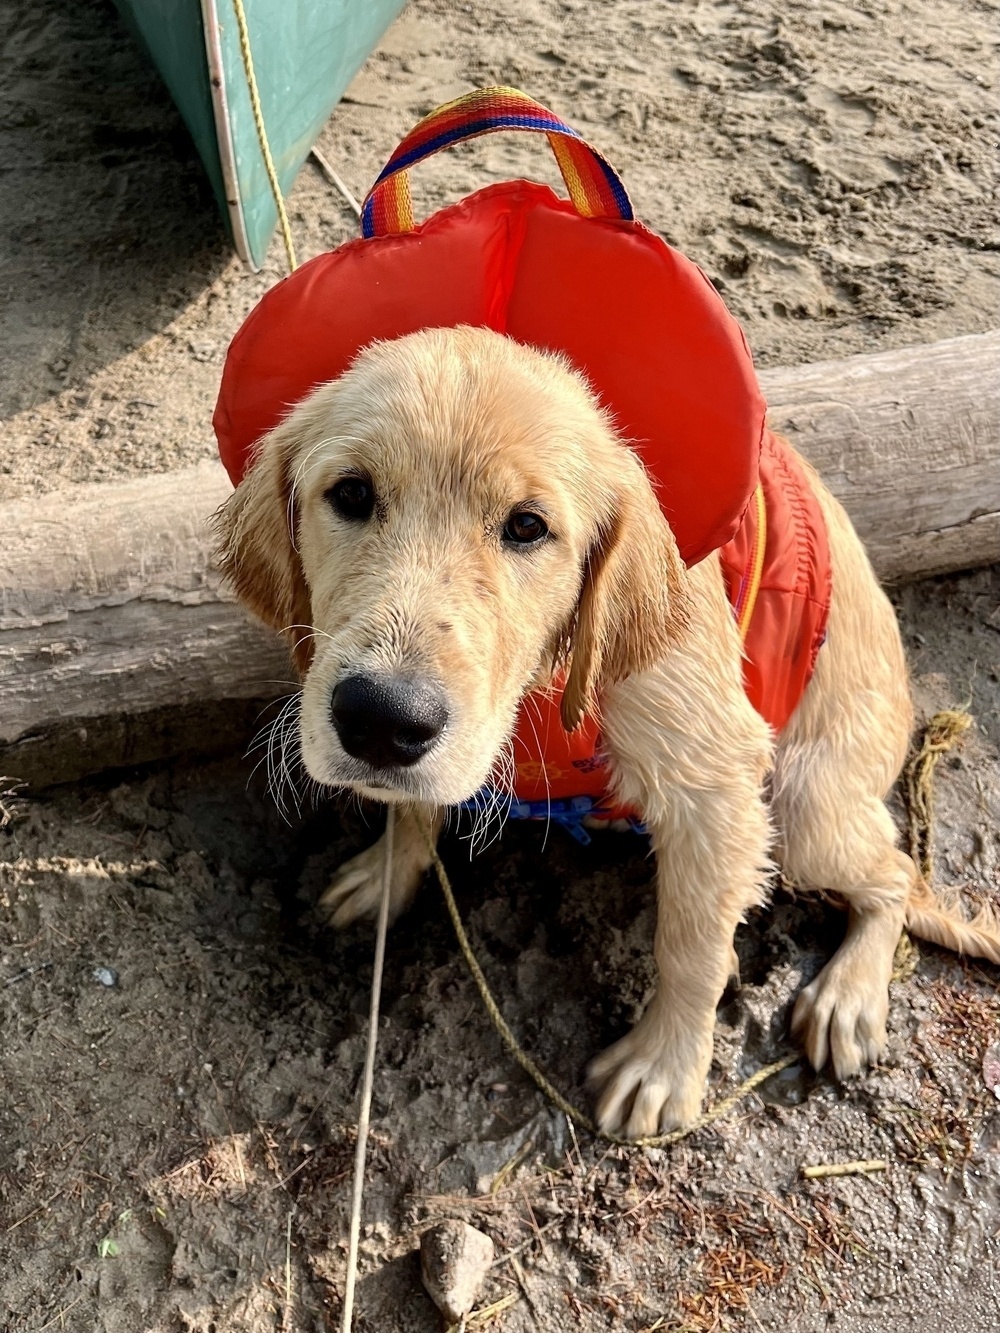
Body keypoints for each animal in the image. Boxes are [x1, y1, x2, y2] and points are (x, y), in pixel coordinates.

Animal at [213, 319, 997, 1135]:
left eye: (528, 526)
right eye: (352, 493)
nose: (380, 719)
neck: (540, 680)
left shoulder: (714, 785)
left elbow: (691, 946)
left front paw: (664, 1066)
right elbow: (414, 808)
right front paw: (383, 871)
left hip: (806, 809)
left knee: (895, 871)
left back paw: (847, 996)